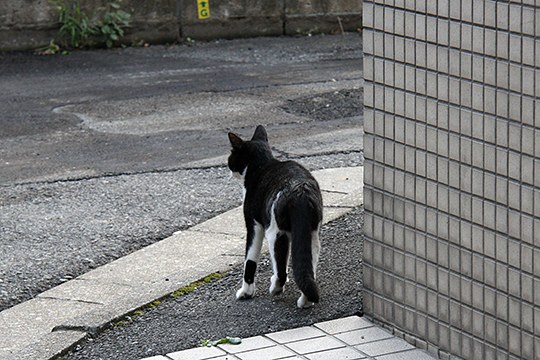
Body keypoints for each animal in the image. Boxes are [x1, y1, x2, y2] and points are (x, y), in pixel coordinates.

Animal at [227, 125, 322, 308]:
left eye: (231, 156)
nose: (228, 167)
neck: (261, 166)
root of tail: (300, 190)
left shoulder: (254, 224)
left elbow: (250, 260)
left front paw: (246, 292)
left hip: (275, 231)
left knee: (280, 270)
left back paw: (276, 288)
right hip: (311, 234)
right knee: (307, 267)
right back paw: (304, 301)